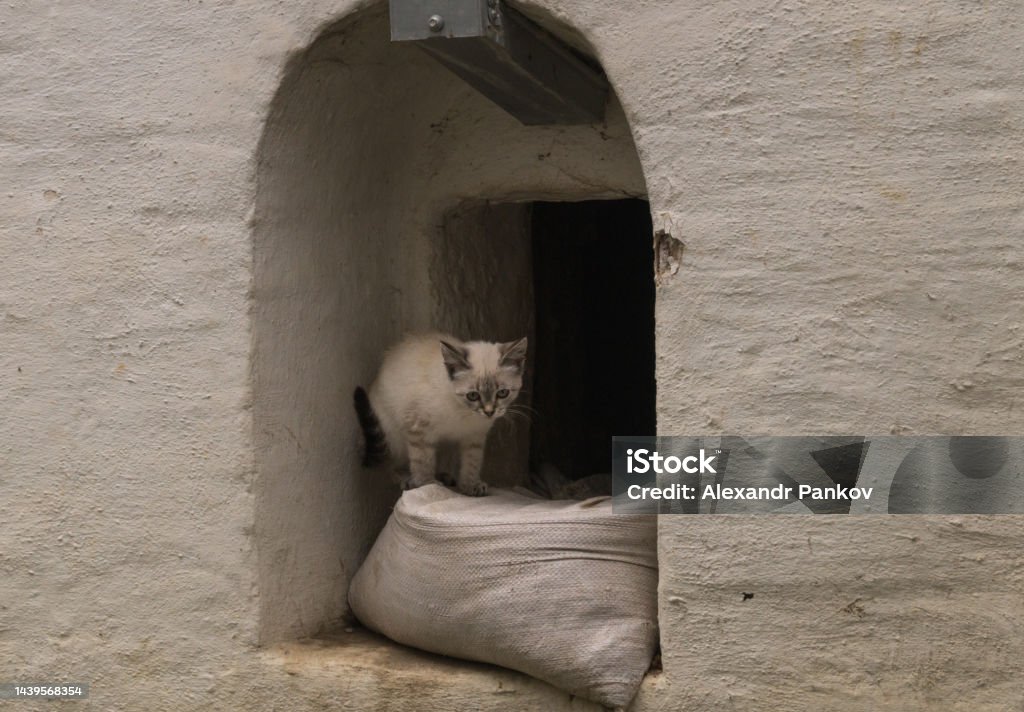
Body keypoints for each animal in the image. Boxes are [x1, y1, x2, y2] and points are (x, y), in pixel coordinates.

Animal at [354, 331, 528, 495]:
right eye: (473, 395)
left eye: (502, 393)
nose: (489, 412)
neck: (464, 413)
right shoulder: (418, 428)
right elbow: (422, 461)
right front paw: (428, 485)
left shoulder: (474, 437)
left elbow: (472, 463)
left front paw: (470, 486)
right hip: (394, 438)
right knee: (393, 467)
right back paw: (410, 480)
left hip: (444, 447)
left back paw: (444, 477)